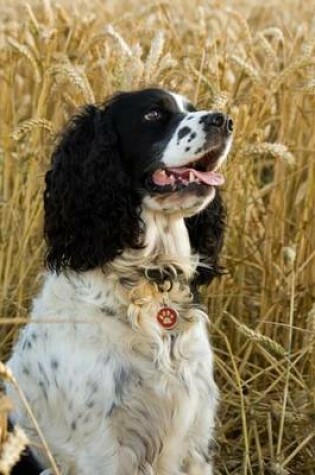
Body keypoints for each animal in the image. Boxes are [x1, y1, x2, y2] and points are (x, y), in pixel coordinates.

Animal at [6, 87, 235, 474]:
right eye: (153, 114)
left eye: (192, 108)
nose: (224, 120)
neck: (148, 280)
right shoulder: (103, 448)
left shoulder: (195, 438)